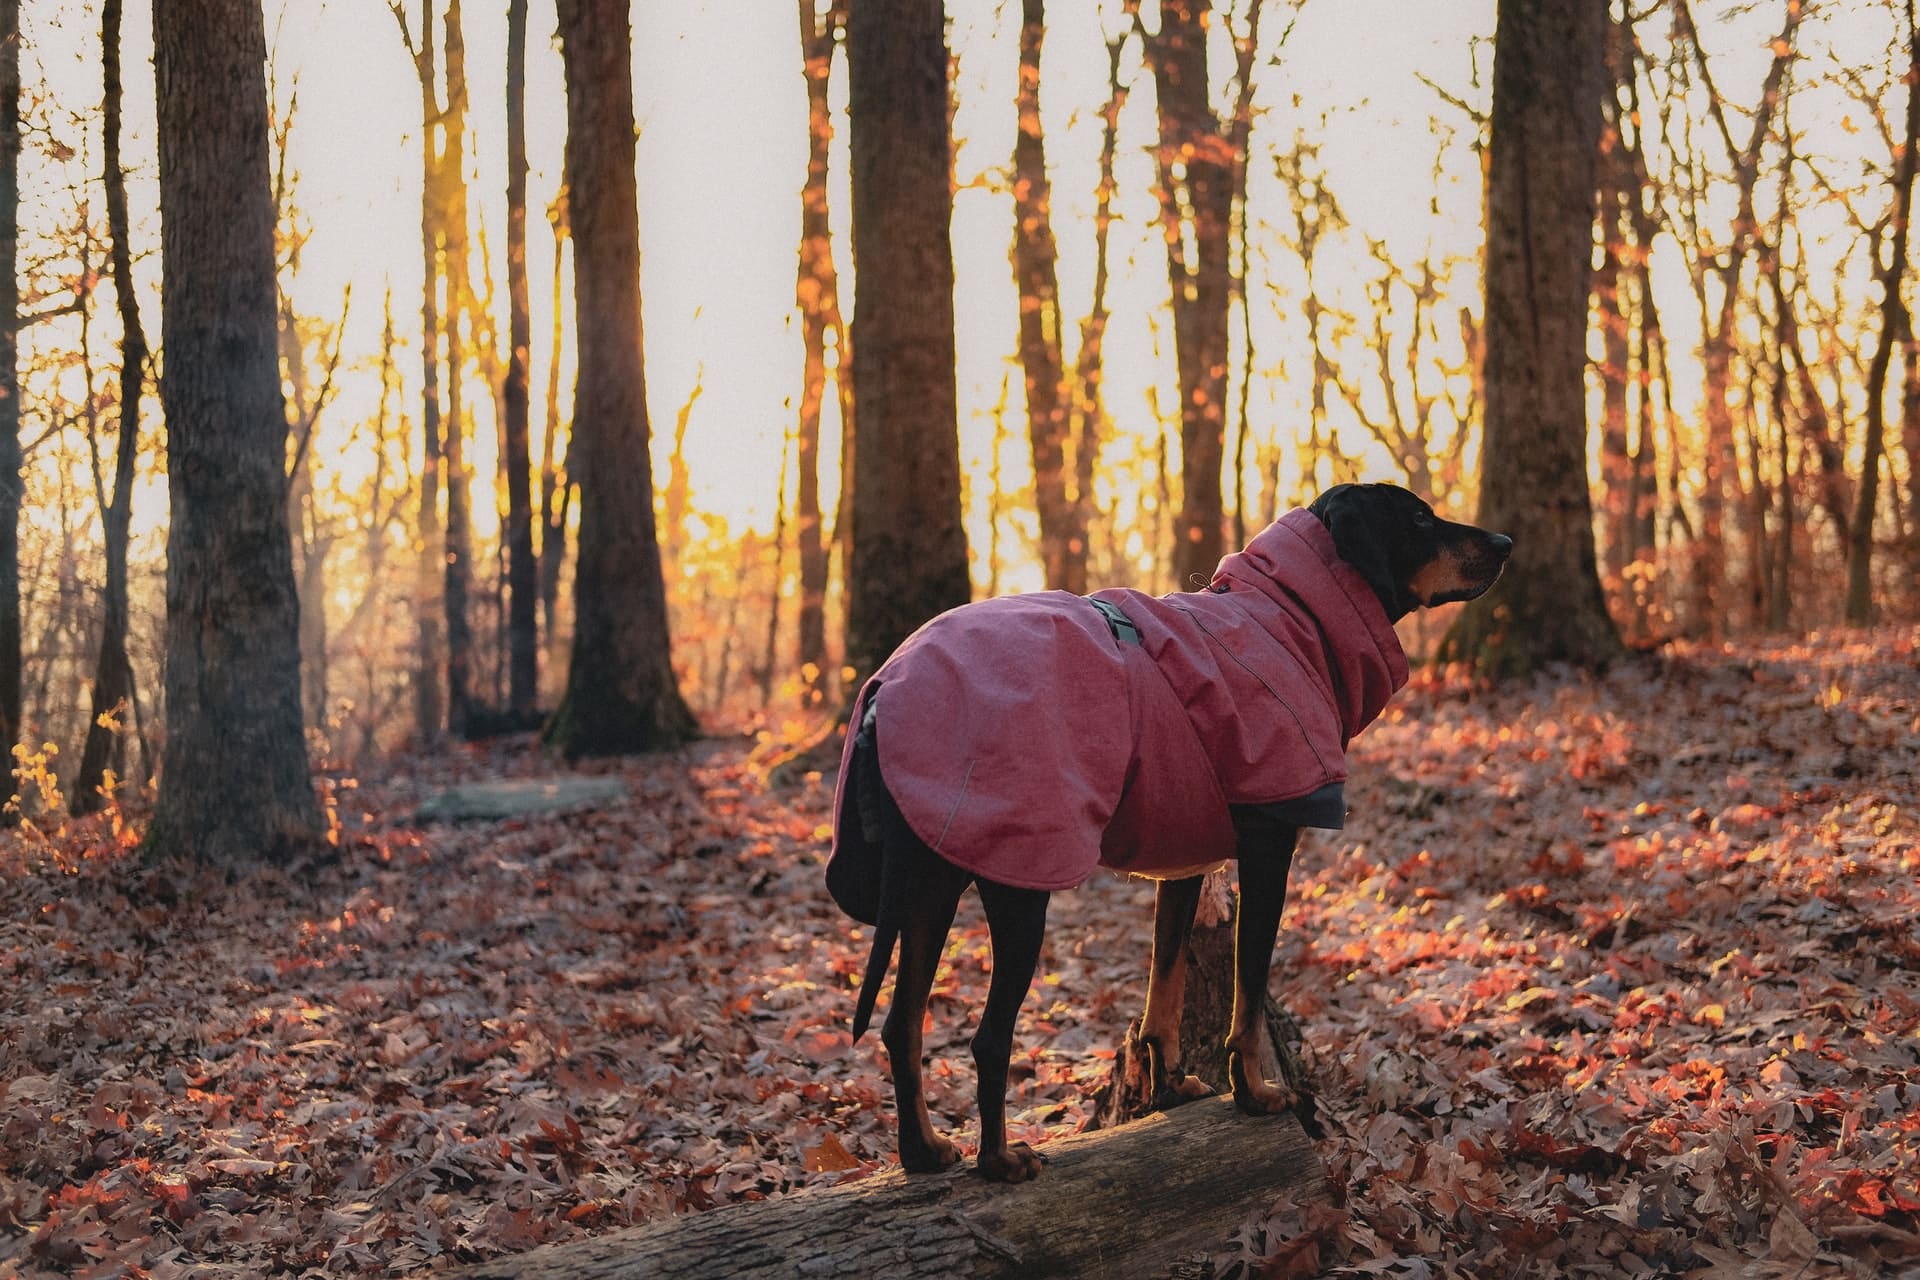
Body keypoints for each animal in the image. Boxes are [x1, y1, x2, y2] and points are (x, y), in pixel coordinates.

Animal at [825, 485, 1512, 1189]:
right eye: (1420, 518)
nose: (1506, 543)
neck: (1290, 620)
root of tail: (885, 692)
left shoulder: (1184, 865)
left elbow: (1165, 993)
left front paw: (1173, 1085)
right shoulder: (1269, 852)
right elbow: (1249, 997)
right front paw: (1255, 1093)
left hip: (930, 880)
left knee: (901, 1023)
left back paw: (922, 1150)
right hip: (1019, 881)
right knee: (988, 1038)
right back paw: (999, 1160)